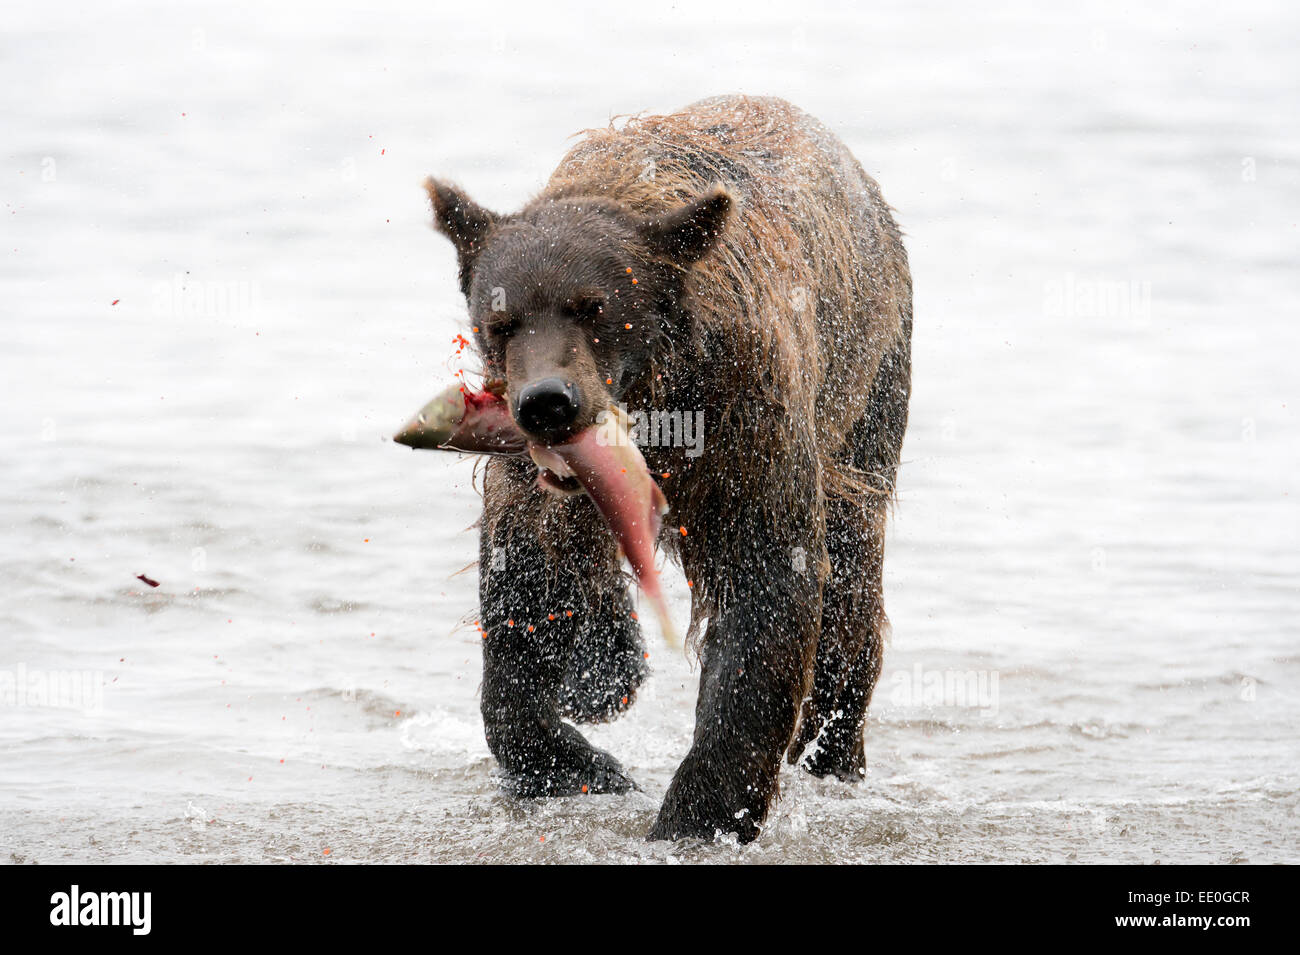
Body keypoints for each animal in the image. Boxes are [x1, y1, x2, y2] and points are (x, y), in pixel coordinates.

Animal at [421, 95, 909, 841]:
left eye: (595, 308)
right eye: (501, 320)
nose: (548, 404)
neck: (660, 410)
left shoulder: (745, 421)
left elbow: (767, 583)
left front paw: (697, 813)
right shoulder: (532, 473)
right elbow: (524, 577)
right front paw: (581, 761)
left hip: (868, 390)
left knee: (854, 576)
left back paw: (833, 751)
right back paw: (605, 669)